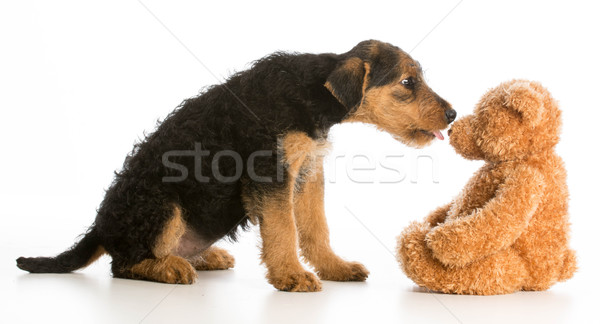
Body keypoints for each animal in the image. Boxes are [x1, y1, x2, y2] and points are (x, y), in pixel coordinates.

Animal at [16, 39, 454, 292]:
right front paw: (291, 276)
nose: (451, 115)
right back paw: (171, 269)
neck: (312, 90)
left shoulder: (307, 172)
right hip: (161, 203)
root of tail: (101, 227)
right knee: (124, 263)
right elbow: (283, 229)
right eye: (408, 82)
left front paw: (336, 267)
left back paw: (203, 257)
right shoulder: (270, 173)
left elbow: (316, 228)